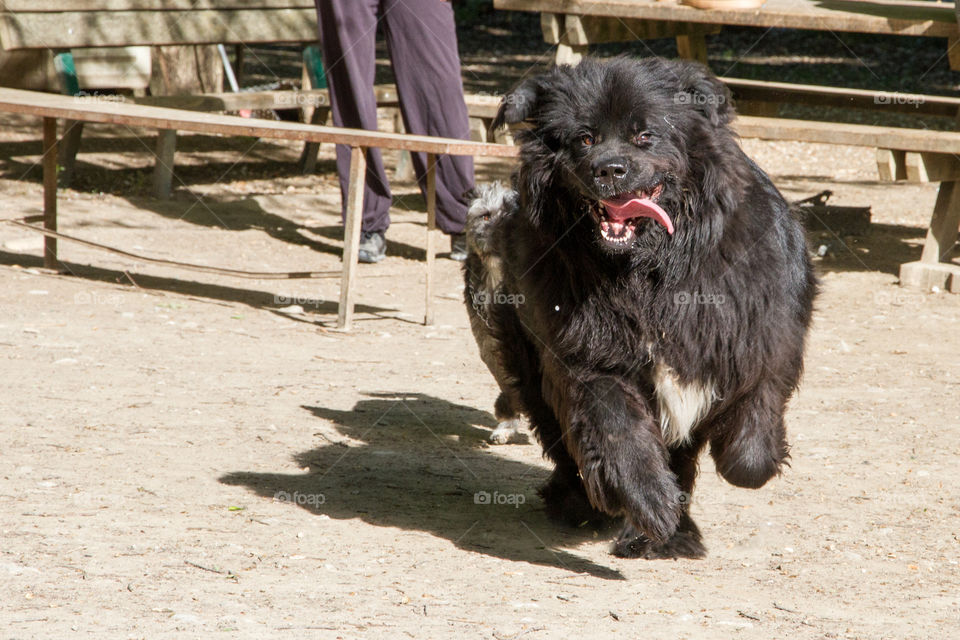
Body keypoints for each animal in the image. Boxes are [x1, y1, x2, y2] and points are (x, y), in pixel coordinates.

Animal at [480, 58, 816, 560]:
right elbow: (620, 432)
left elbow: (752, 434)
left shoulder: (759, 339)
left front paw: (751, 459)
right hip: (527, 361)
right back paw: (583, 502)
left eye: (645, 135)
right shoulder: (587, 355)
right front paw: (650, 505)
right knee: (560, 437)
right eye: (584, 138)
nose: (609, 169)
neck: (647, 275)